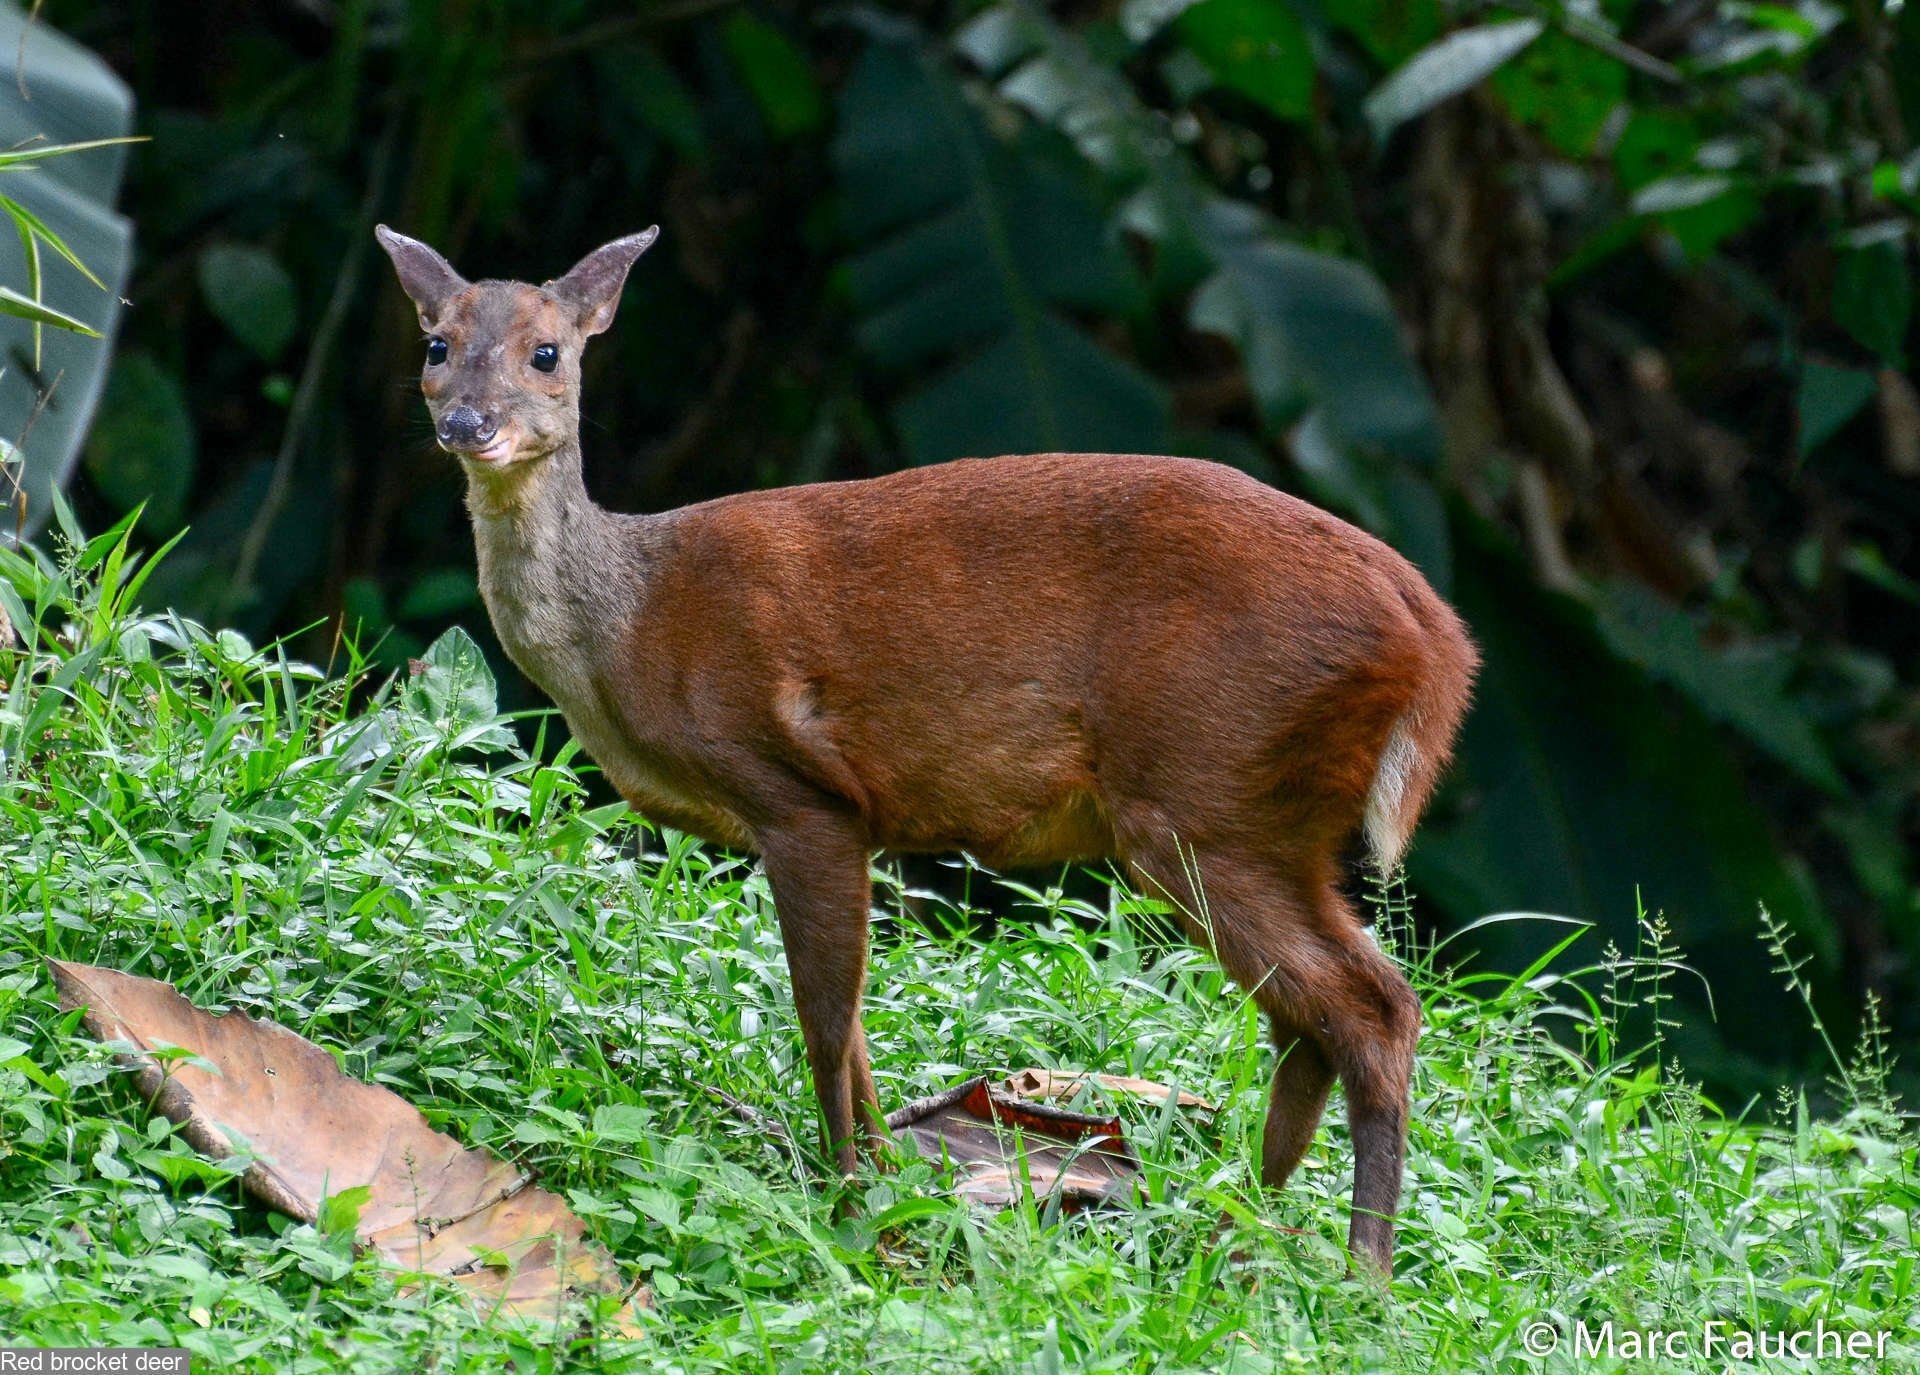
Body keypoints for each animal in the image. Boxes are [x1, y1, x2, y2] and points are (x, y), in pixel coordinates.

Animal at [378, 222, 1482, 1275]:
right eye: (436, 345)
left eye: (548, 352)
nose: (467, 425)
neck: (627, 625)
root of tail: (1439, 643)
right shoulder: (850, 818)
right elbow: (858, 1026)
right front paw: (886, 1179)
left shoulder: (799, 793)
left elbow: (825, 1017)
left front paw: (846, 1200)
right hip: (1266, 816)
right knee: (1315, 1016)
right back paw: (1238, 1225)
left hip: (1208, 793)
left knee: (1371, 1007)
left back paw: (1358, 1273)